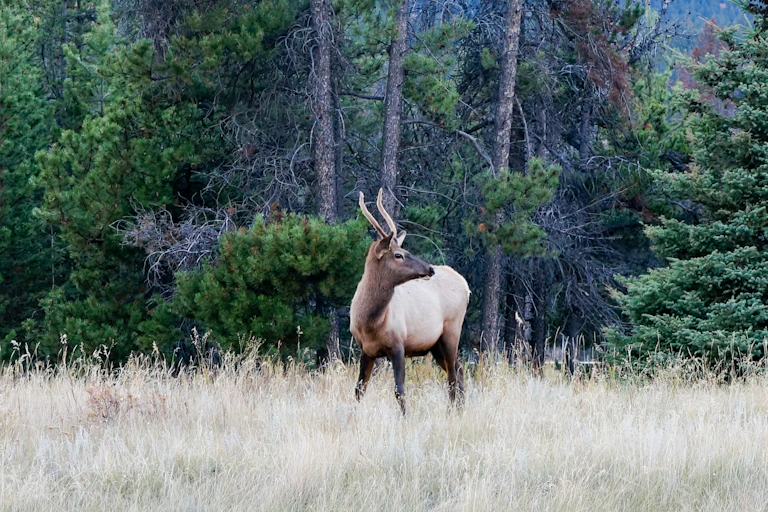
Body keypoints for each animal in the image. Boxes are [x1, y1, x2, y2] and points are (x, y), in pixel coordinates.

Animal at [350, 189, 470, 415]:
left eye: (405, 251)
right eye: (399, 255)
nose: (429, 269)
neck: (371, 321)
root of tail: (466, 285)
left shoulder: (398, 345)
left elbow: (399, 390)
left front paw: (405, 417)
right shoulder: (366, 350)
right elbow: (359, 389)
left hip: (452, 330)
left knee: (452, 376)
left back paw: (451, 412)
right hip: (436, 344)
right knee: (459, 370)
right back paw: (460, 410)